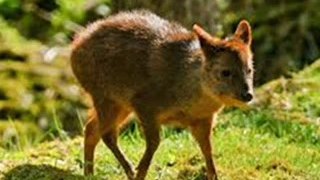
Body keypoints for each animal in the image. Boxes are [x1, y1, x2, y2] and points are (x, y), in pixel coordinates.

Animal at [70, 10, 252, 180]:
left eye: (249, 69)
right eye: (225, 72)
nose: (248, 95)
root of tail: (75, 45)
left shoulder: (204, 119)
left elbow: (208, 149)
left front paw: (214, 175)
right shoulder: (144, 105)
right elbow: (154, 143)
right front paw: (140, 173)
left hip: (120, 103)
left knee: (92, 130)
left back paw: (92, 172)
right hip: (105, 96)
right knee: (104, 133)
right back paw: (124, 170)